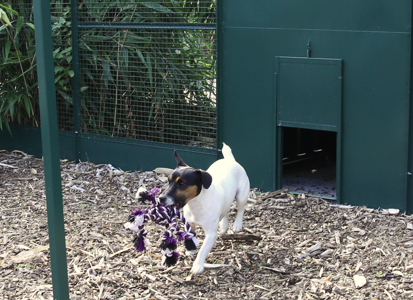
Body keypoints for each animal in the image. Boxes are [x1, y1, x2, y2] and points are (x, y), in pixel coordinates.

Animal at [158, 143, 248, 274]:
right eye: (168, 181)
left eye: (181, 184)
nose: (161, 198)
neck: (196, 204)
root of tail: (230, 160)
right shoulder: (190, 223)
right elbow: (190, 235)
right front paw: (191, 249)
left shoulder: (211, 234)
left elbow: (203, 250)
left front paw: (198, 265)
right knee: (225, 210)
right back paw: (224, 225)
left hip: (241, 195)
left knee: (241, 209)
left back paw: (237, 225)